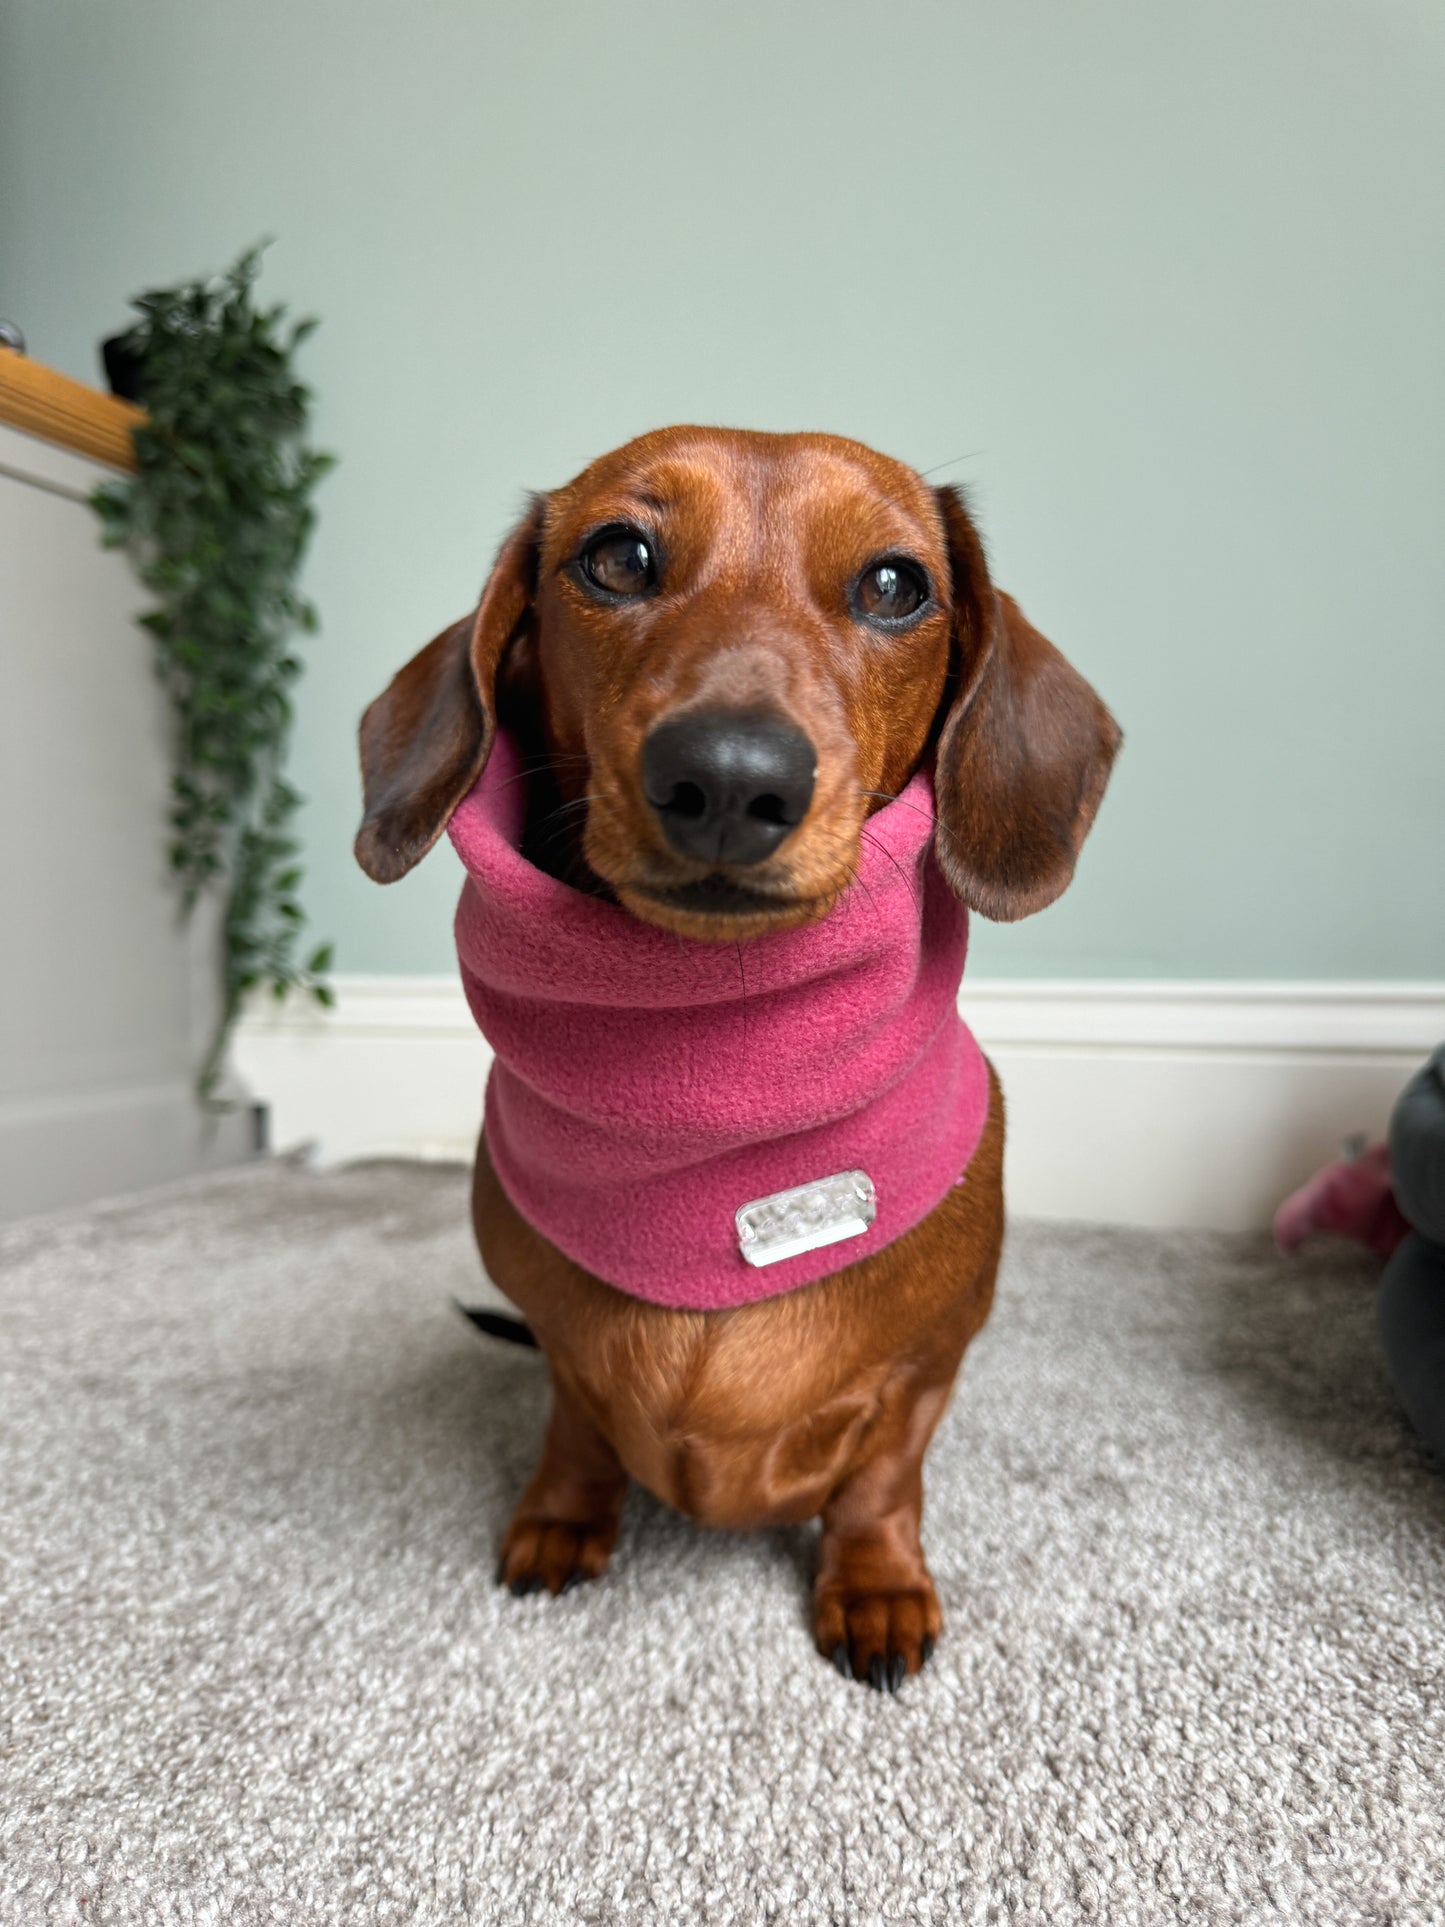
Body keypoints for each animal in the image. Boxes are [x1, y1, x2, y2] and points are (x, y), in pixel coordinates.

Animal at [354, 429, 1117, 1695]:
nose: (726, 777)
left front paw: (876, 1584)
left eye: (895, 584)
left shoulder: (927, 1368)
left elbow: (880, 1478)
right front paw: (561, 1516)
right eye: (616, 557)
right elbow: (573, 1426)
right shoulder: (561, 1354)